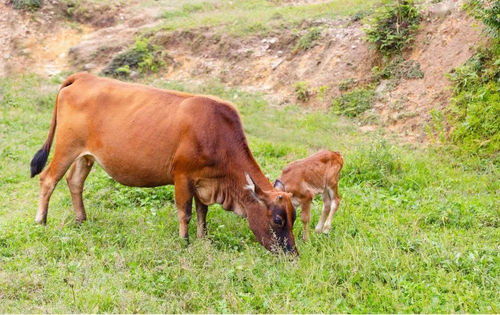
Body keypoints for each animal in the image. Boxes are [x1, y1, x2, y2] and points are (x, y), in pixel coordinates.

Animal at [29, 73, 296, 254]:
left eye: (293, 217)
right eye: (278, 220)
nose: (291, 253)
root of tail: (84, 77)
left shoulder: (203, 181)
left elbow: (203, 212)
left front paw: (203, 239)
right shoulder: (182, 176)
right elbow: (185, 212)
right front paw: (184, 241)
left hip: (86, 155)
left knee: (74, 181)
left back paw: (81, 219)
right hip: (66, 146)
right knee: (48, 179)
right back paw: (41, 221)